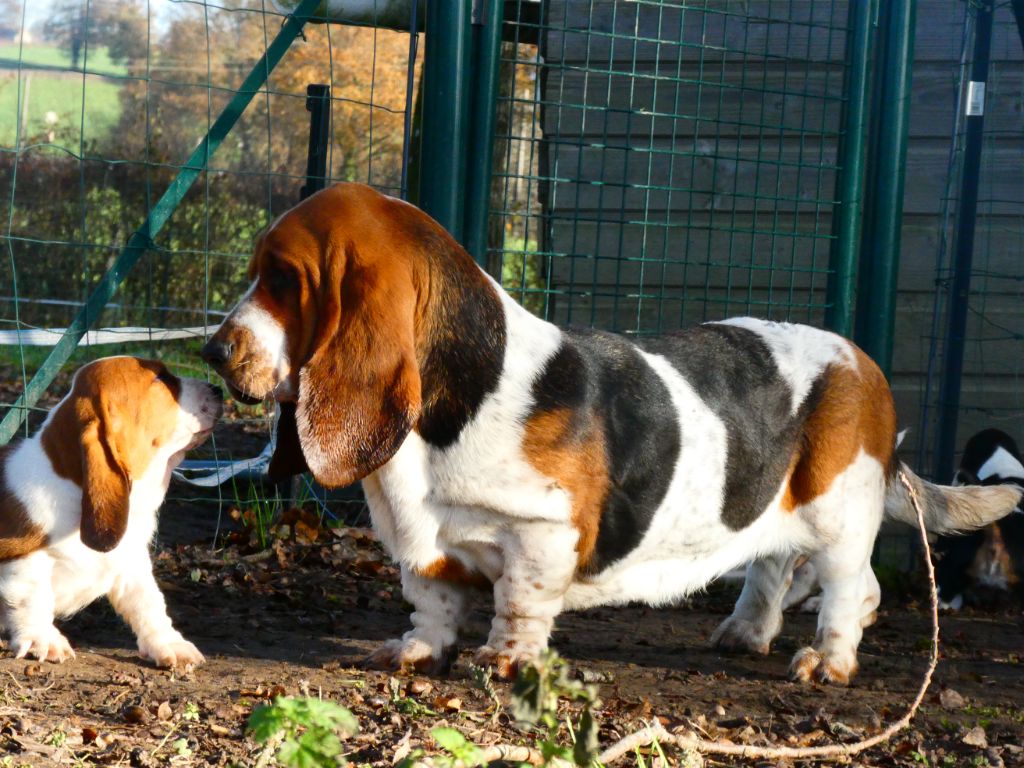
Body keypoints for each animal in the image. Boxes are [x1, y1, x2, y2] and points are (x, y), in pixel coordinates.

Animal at [0, 360, 222, 667]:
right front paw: (44, 639)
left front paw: (169, 643)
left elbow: (149, 604)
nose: (218, 389)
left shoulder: (132, 562)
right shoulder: (23, 560)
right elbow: (32, 598)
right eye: (161, 379)